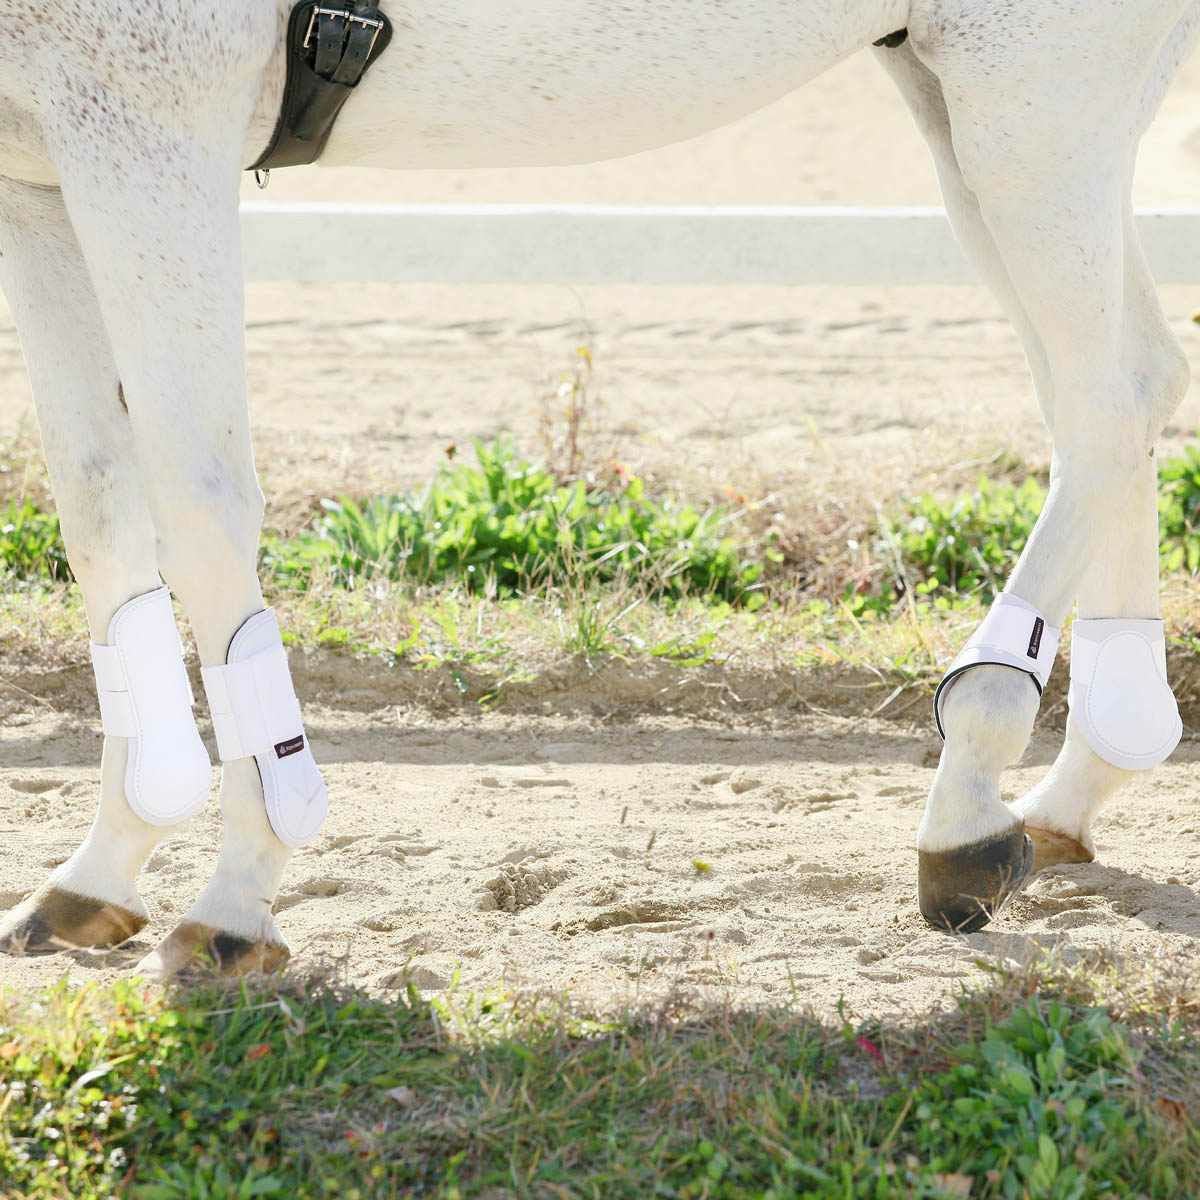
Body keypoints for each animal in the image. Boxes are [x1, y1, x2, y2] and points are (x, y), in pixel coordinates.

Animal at [1, 0, 1196, 975]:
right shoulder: (40, 172)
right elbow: (98, 502)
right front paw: (101, 866)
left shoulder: (146, 135)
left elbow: (198, 505)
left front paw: (238, 891)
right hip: (968, 105)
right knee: (1118, 389)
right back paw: (1076, 783)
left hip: (1032, 108)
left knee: (1108, 399)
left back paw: (968, 800)